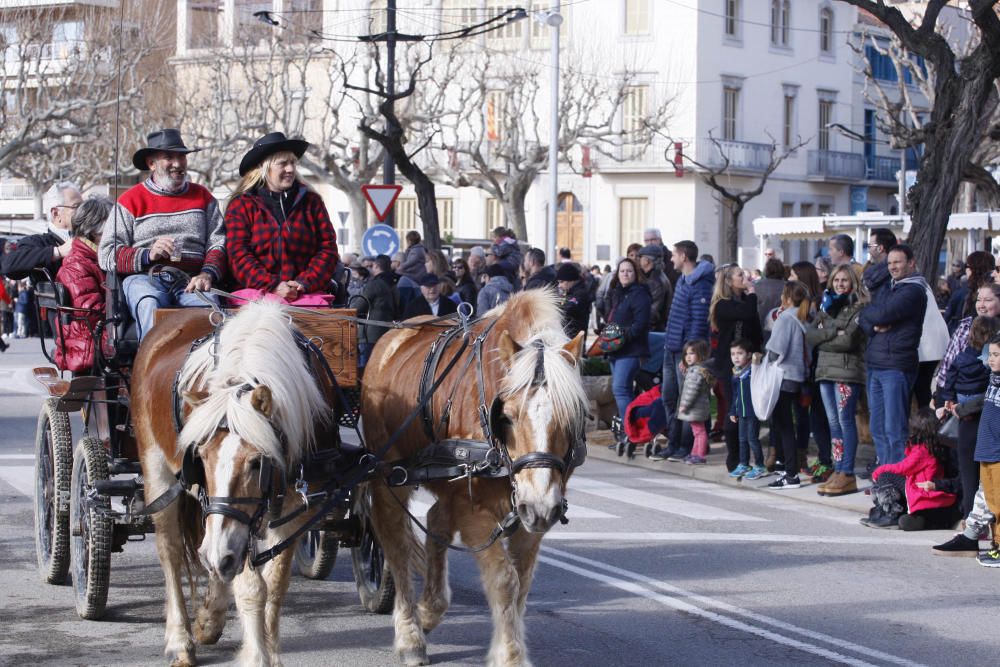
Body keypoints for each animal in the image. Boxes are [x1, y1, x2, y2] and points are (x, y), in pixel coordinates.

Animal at [131, 304, 336, 667]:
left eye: (256, 462)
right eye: (200, 456)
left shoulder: (293, 508)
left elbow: (275, 583)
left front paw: (270, 651)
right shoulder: (236, 522)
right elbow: (251, 587)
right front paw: (256, 656)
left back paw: (209, 617)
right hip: (155, 466)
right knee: (172, 551)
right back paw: (180, 640)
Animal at [364, 292, 588, 667]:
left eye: (571, 417)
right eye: (507, 417)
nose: (541, 505)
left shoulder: (533, 515)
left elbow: (522, 582)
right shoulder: (475, 511)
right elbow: (505, 581)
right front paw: (510, 656)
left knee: (435, 521)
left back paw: (431, 609)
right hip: (387, 477)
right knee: (395, 545)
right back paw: (410, 633)